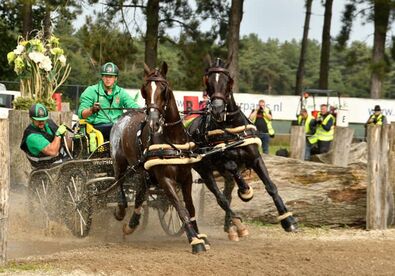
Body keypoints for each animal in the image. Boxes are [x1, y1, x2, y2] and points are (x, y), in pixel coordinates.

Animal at [110, 62, 207, 254]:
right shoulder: (165, 179)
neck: (172, 139)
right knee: (119, 183)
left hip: (143, 171)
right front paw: (195, 241)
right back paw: (120, 210)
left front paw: (199, 235)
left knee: (140, 194)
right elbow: (180, 208)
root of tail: (124, 116)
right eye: (144, 90)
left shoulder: (186, 178)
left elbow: (190, 207)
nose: (153, 122)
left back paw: (131, 225)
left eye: (164, 88)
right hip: (120, 161)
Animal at [188, 58, 296, 239]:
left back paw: (230, 226)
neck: (230, 127)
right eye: (208, 81)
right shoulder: (221, 161)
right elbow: (232, 167)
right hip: (204, 171)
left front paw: (288, 220)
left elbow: (271, 187)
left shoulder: (255, 158)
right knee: (221, 198)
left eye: (228, 80)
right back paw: (237, 224)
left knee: (227, 194)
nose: (217, 109)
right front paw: (246, 191)